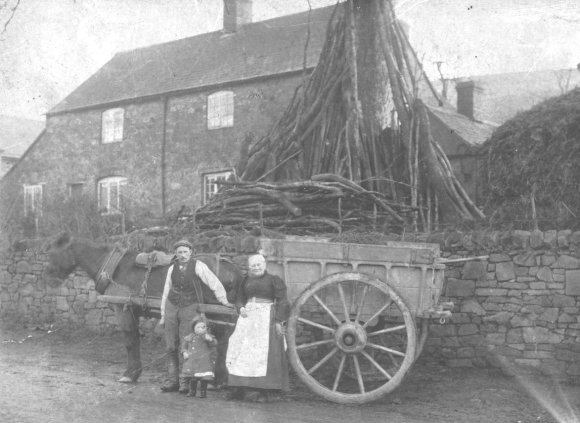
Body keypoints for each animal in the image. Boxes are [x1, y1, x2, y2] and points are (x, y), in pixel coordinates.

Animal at [43, 234, 242, 386]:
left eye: (53, 253)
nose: (49, 280)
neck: (115, 268)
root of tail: (232, 267)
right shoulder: (132, 311)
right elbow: (135, 340)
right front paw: (135, 372)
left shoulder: (123, 310)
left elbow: (130, 342)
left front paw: (130, 374)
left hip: (217, 314)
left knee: (223, 342)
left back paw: (219, 379)